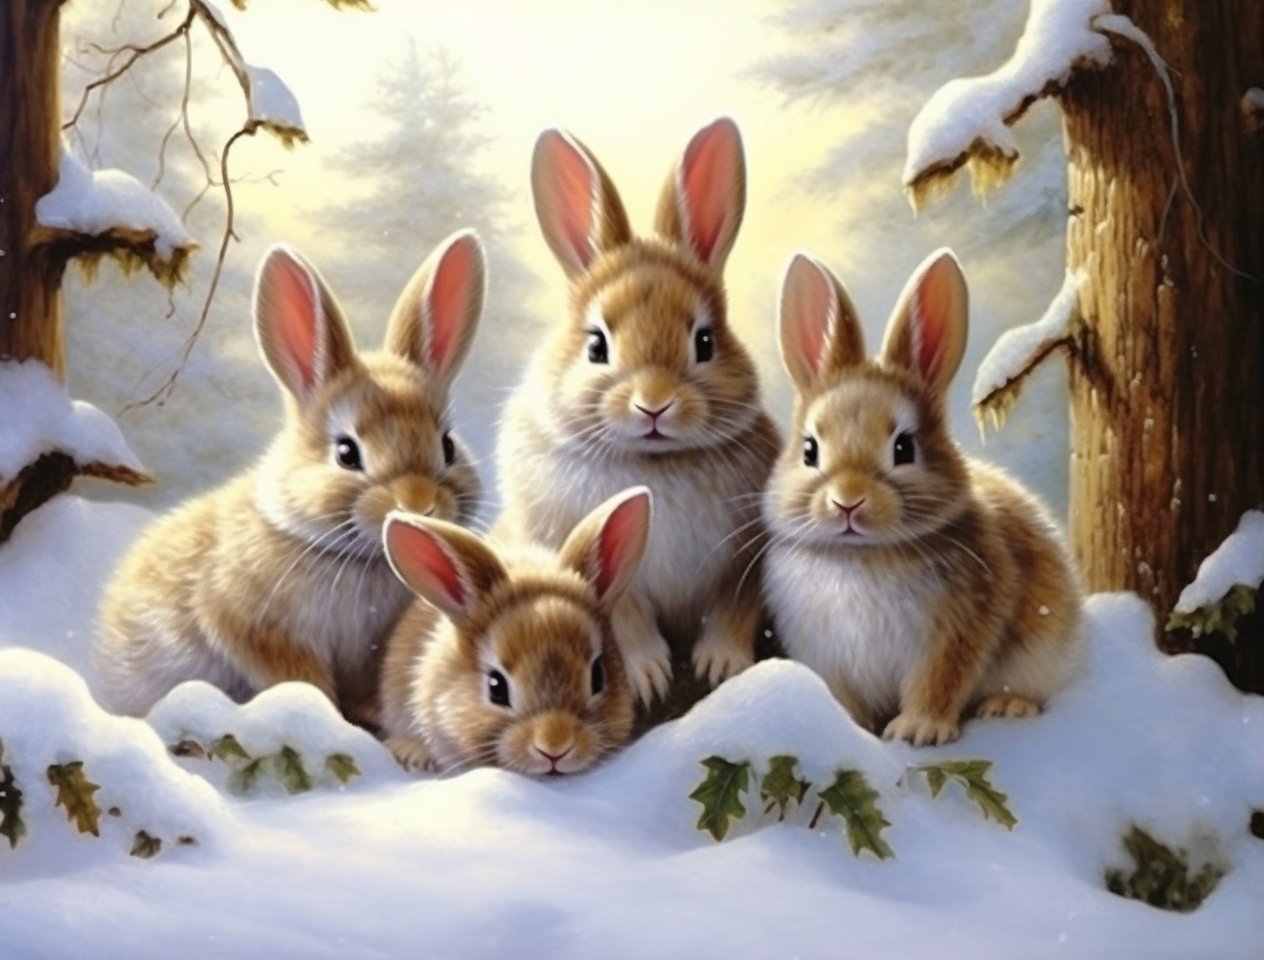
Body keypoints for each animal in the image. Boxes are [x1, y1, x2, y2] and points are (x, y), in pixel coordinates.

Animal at [95, 230, 487, 724]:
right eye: (346, 453)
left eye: (448, 446)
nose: (420, 505)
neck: (362, 559)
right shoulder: (250, 624)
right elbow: (300, 677)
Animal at [496, 117, 782, 722]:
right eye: (597, 345)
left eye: (705, 342)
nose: (654, 404)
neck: (655, 462)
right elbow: (626, 620)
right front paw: (650, 677)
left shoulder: (743, 562)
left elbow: (732, 611)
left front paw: (720, 667)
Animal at [762, 248, 1084, 747]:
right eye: (810, 450)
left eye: (903, 448)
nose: (848, 501)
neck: (863, 557)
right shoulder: (827, 655)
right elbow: (845, 700)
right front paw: (854, 730)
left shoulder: (955, 631)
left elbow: (939, 681)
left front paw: (918, 731)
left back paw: (1008, 706)